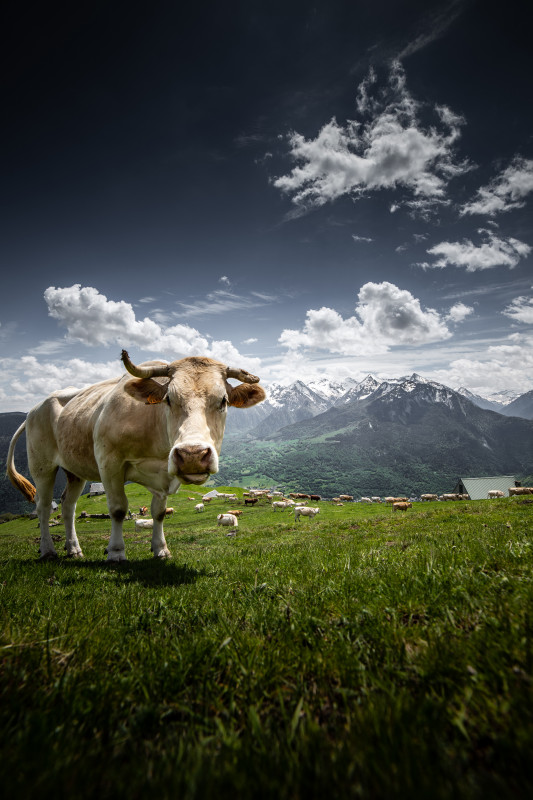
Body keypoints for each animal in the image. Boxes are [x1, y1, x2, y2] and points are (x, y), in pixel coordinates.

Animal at [6, 350, 265, 562]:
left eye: (223, 401)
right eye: (168, 399)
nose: (192, 455)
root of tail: (34, 409)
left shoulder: (162, 475)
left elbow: (158, 513)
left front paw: (161, 549)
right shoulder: (108, 462)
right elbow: (118, 509)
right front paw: (116, 552)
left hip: (74, 470)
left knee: (68, 506)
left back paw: (74, 549)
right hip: (42, 465)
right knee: (43, 507)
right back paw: (48, 550)